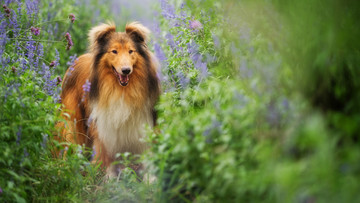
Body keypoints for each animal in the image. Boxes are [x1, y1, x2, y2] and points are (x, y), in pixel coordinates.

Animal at [58, 22, 160, 177]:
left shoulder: (141, 126)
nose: (126, 70)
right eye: (114, 51)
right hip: (73, 123)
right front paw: (108, 178)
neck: (122, 91)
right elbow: (106, 160)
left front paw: (150, 179)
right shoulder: (104, 130)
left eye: (131, 51)